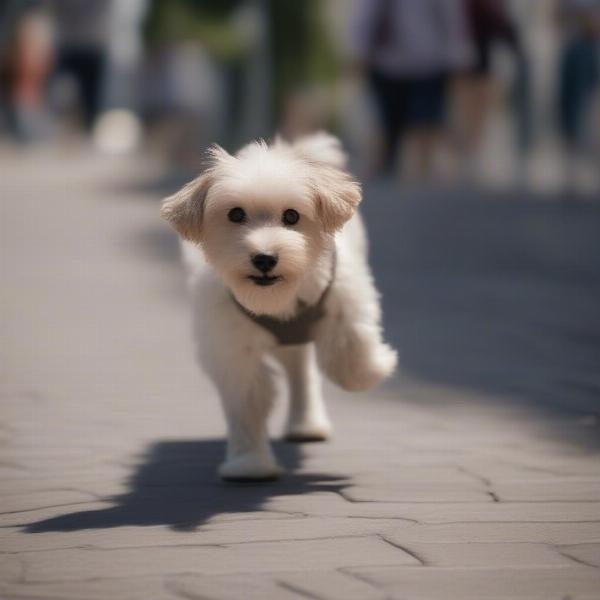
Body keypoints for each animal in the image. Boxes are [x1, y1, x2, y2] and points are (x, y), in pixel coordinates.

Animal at [161, 134, 398, 480]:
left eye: (292, 216)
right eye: (235, 214)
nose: (264, 258)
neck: (280, 299)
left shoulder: (344, 295)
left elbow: (348, 351)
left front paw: (373, 370)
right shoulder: (232, 345)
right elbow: (247, 401)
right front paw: (249, 463)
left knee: (305, 372)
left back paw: (309, 424)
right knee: (300, 371)